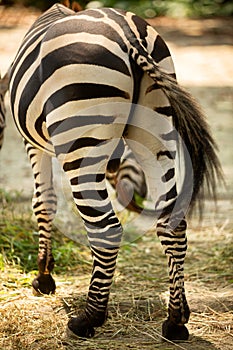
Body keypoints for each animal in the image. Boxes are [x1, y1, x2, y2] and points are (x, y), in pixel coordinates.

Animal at [6, 2, 222, 340]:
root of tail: (127, 32)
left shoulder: (33, 144)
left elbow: (44, 202)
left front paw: (43, 277)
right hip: (156, 131)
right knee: (172, 224)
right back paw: (175, 320)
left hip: (81, 142)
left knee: (106, 229)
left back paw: (89, 318)